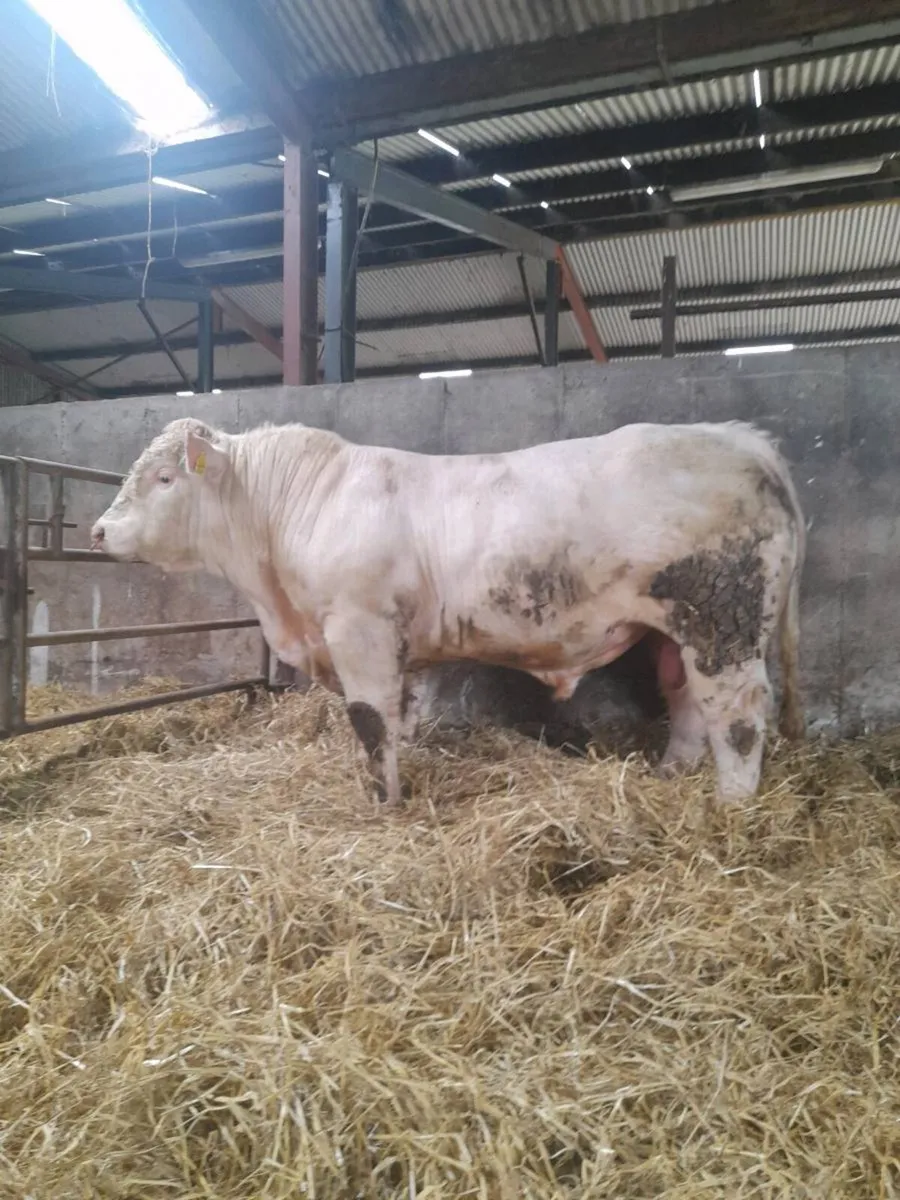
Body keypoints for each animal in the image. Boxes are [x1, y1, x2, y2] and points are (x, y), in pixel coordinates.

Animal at [91, 416, 805, 807]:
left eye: (163, 479)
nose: (97, 532)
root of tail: (741, 440)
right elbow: (401, 715)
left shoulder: (359, 628)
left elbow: (370, 720)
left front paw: (384, 801)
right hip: (674, 632)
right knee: (688, 703)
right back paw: (670, 776)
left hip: (724, 620)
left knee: (739, 715)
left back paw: (732, 807)